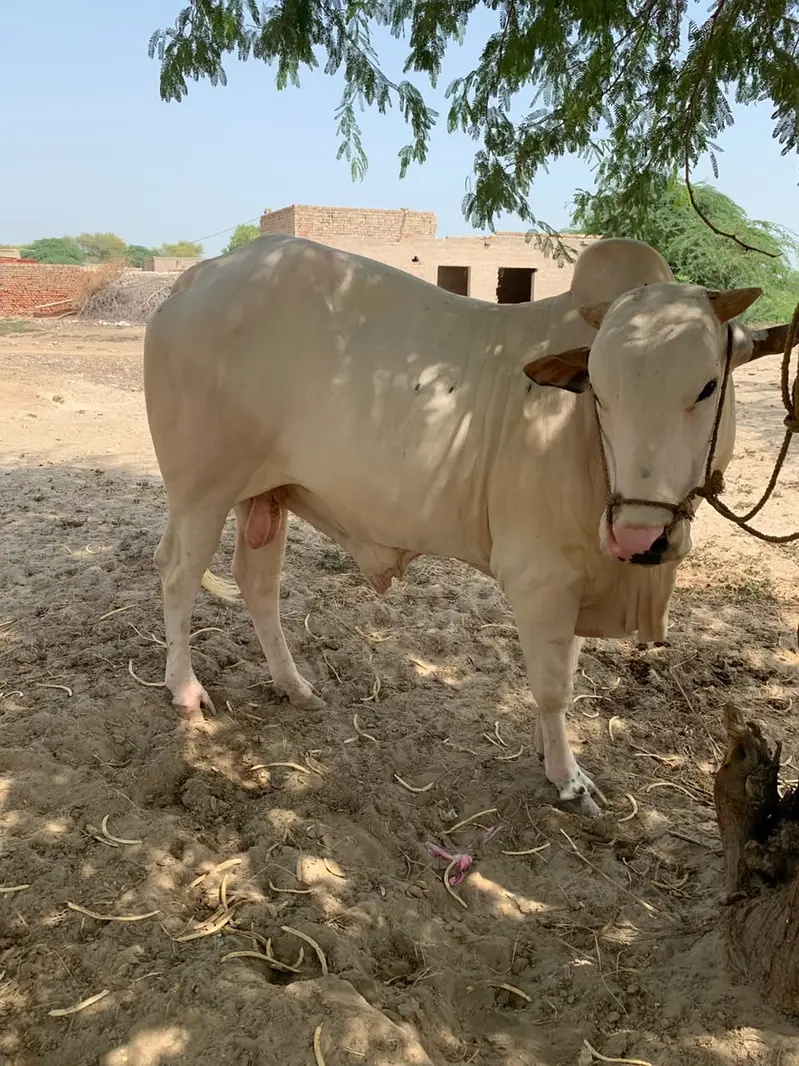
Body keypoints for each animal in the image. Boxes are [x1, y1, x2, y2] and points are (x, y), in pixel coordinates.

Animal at [143, 233, 793, 816]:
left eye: (708, 386)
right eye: (600, 395)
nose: (638, 536)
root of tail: (199, 276)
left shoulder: (579, 575)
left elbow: (565, 667)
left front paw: (546, 751)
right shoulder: (540, 575)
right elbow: (553, 685)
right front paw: (567, 778)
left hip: (263, 495)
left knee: (258, 584)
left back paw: (293, 685)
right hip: (201, 491)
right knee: (177, 575)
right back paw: (185, 691)